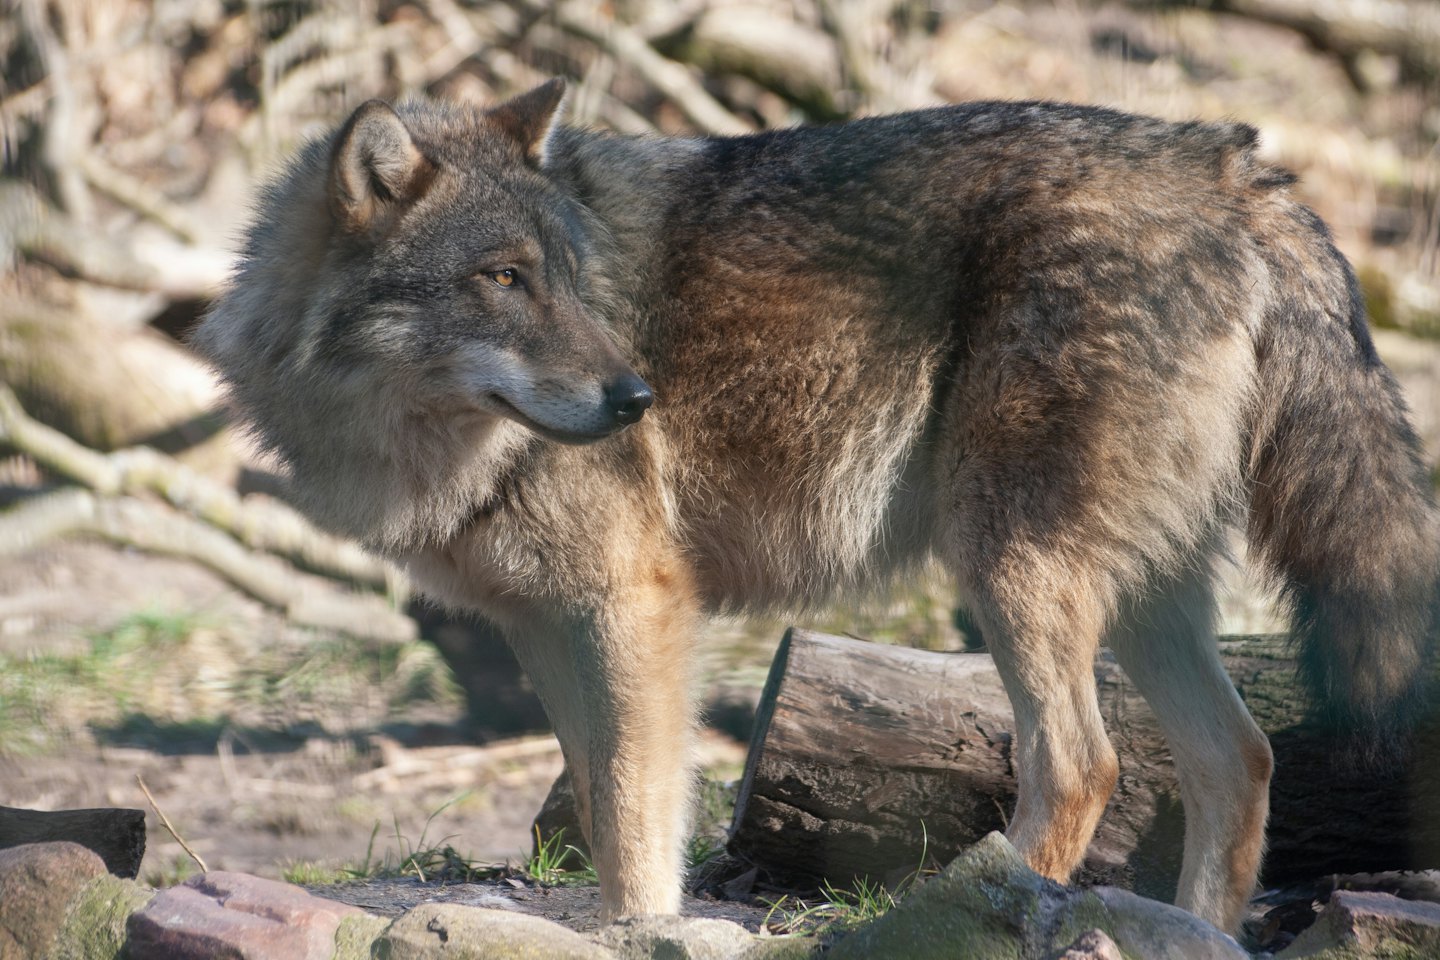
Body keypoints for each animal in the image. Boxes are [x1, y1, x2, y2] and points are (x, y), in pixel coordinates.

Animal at [193, 79, 1440, 932]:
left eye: (568, 280)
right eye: (502, 278)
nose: (635, 398)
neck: (422, 448)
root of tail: (1230, 163)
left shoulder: (637, 606)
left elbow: (636, 818)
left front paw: (641, 932)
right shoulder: (547, 627)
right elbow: (602, 803)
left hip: (1010, 568)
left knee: (1085, 766)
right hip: (1137, 596)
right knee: (1241, 759)